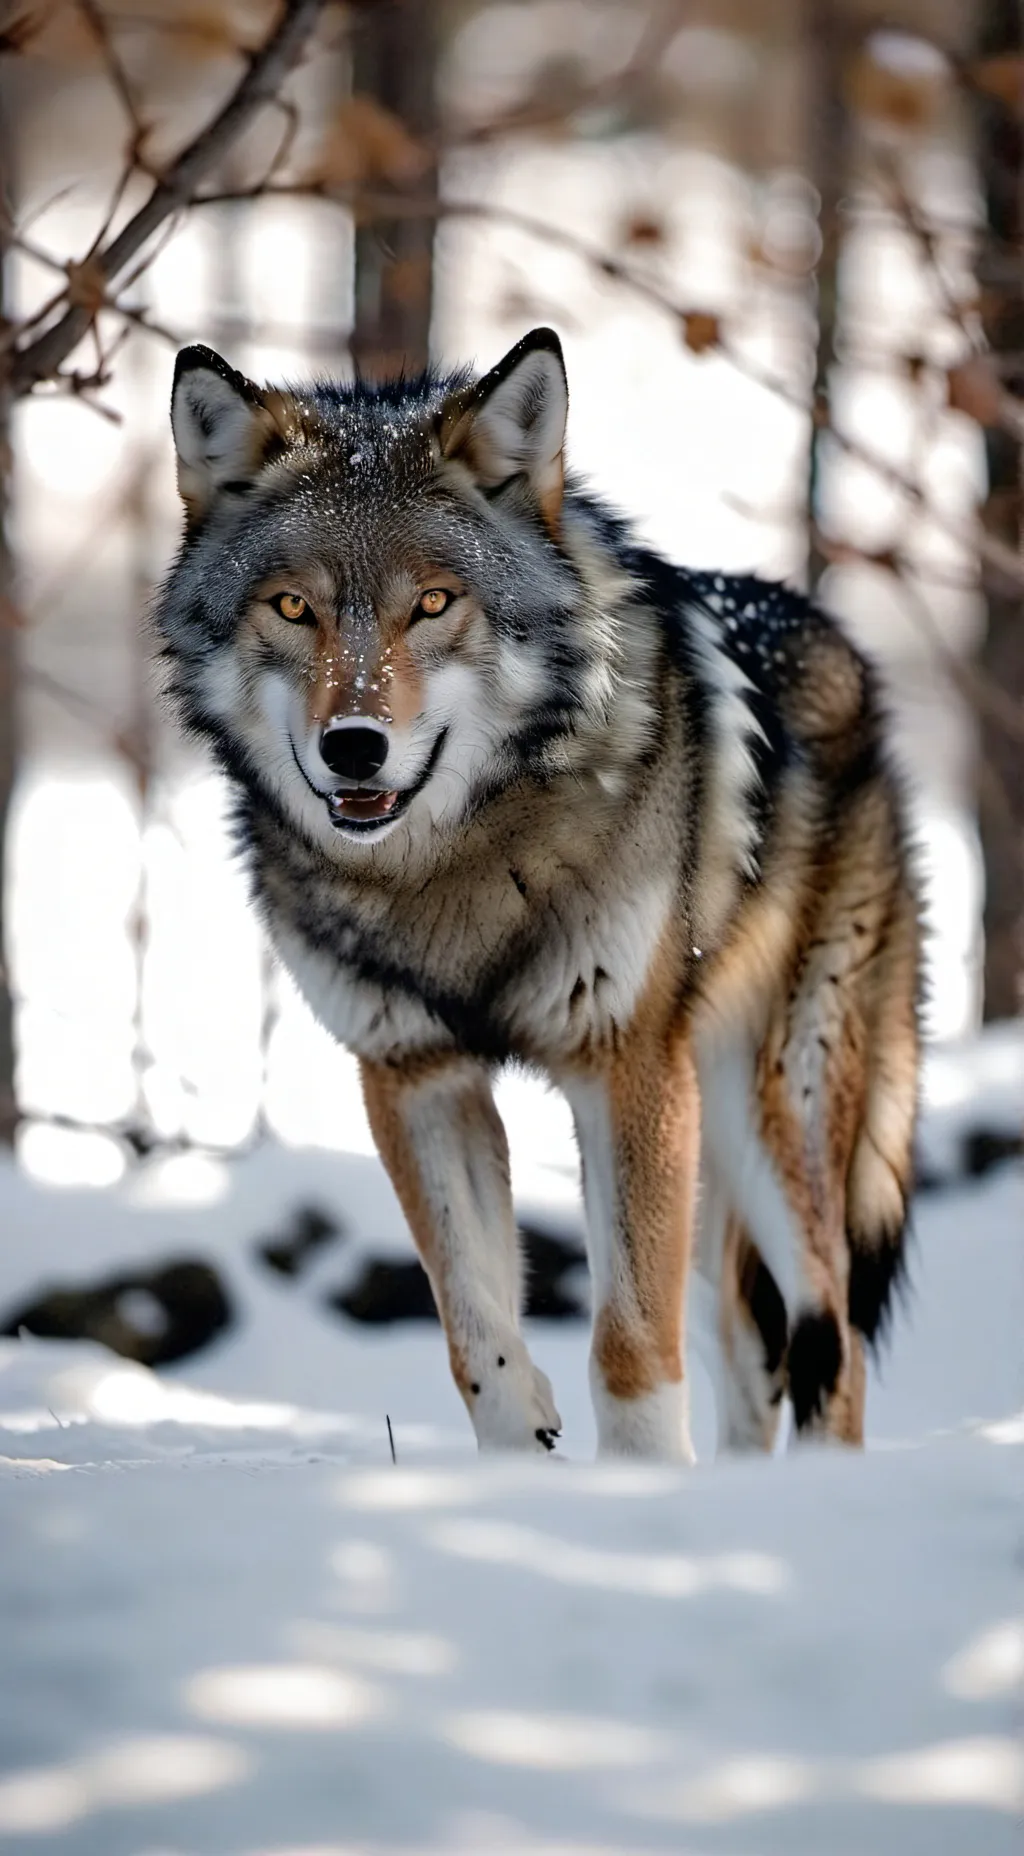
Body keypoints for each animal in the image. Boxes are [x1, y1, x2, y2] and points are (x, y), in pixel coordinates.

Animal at [155, 326, 920, 1461]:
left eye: (433, 602)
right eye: (292, 606)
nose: (354, 746)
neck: (452, 867)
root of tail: (848, 654)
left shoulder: (627, 1070)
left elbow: (630, 1344)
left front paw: (638, 1486)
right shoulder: (415, 1078)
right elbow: (477, 1334)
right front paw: (523, 1473)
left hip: (767, 1107)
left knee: (833, 1334)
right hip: (712, 1163)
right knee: (758, 1350)